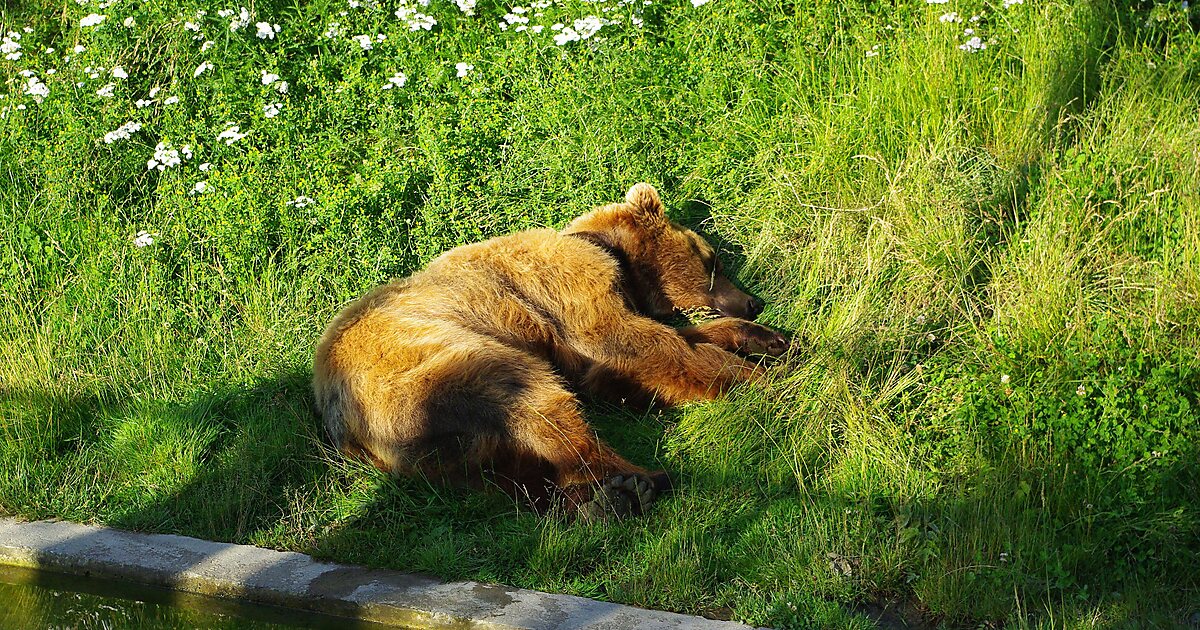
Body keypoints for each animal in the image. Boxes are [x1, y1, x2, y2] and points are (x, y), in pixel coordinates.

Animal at [313, 183, 789, 519]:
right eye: (712, 260)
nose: (752, 301)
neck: (610, 253)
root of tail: (343, 427)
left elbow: (654, 353)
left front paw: (774, 341)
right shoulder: (566, 287)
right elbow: (640, 345)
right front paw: (756, 377)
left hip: (439, 448)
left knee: (515, 469)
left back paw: (599, 501)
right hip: (436, 366)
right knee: (537, 405)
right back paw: (638, 481)